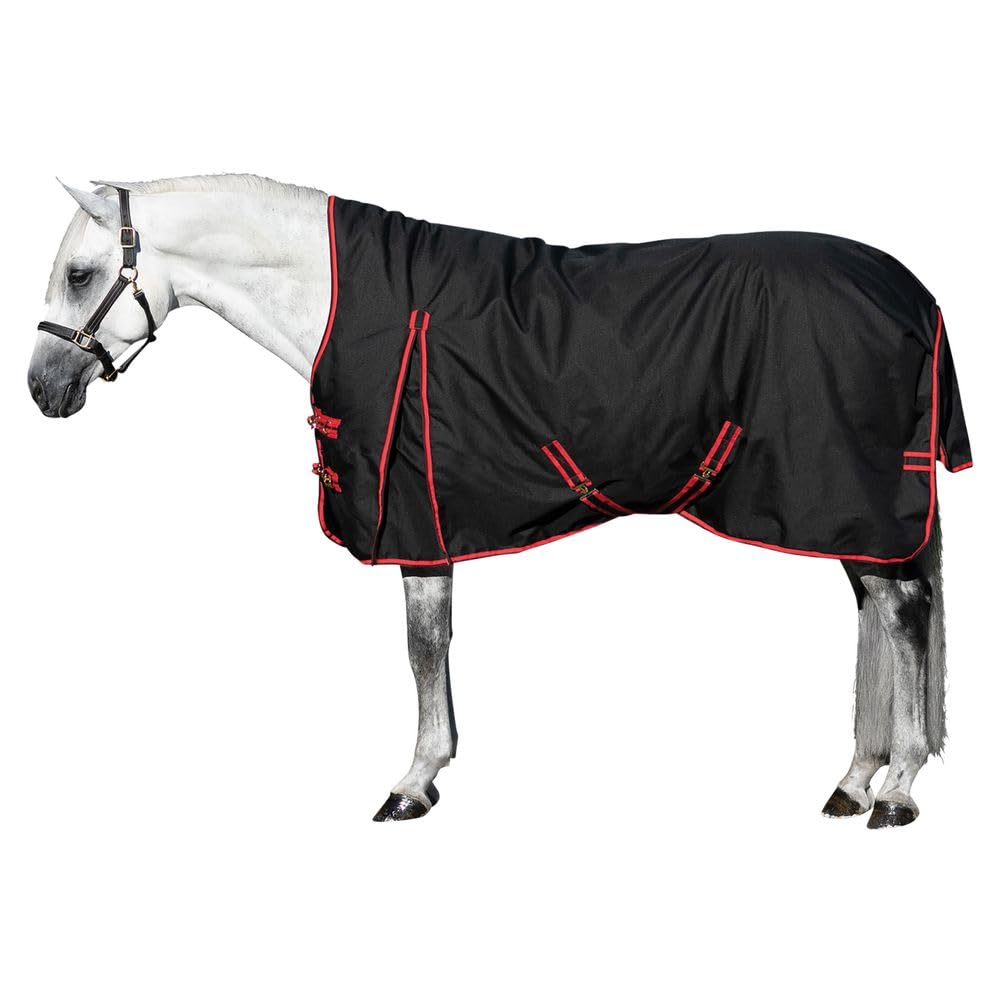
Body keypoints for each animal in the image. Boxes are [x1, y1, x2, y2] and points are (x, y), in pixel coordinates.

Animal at [28, 175, 972, 827]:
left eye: (79, 273)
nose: (42, 389)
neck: (348, 300)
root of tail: (910, 291)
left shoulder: (415, 518)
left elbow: (420, 648)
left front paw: (412, 782)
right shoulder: (435, 520)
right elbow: (435, 646)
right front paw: (433, 769)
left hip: (847, 491)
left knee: (901, 611)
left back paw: (897, 787)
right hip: (843, 509)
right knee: (878, 610)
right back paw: (856, 778)